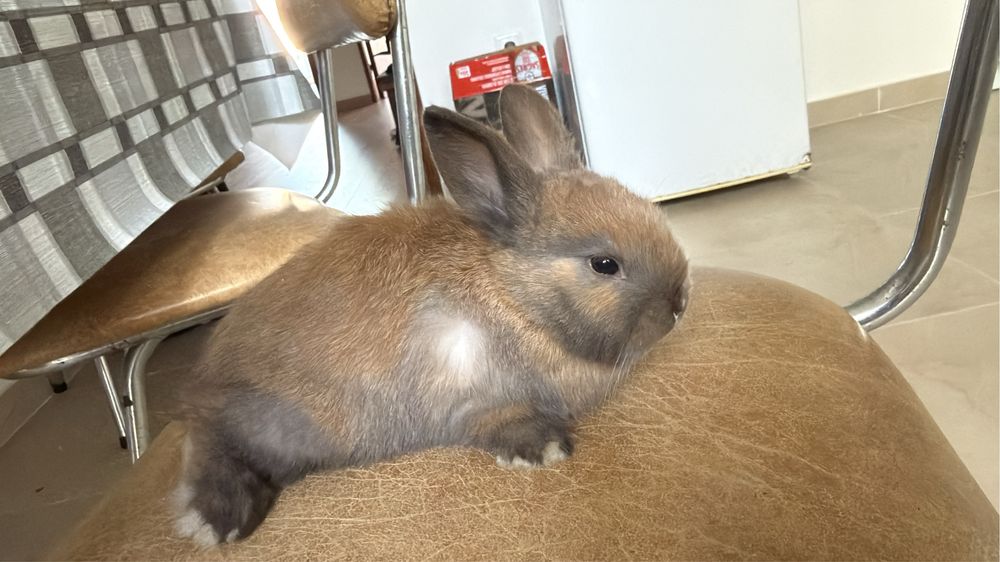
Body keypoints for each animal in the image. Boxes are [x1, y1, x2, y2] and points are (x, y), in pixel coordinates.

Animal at [172, 83, 690, 546]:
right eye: (604, 264)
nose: (680, 303)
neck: (518, 301)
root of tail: (201, 383)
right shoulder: (472, 397)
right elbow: (503, 423)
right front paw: (545, 450)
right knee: (209, 447)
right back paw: (218, 522)